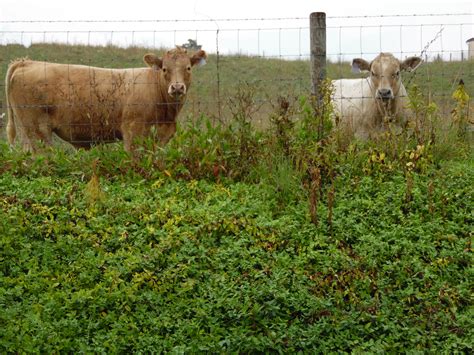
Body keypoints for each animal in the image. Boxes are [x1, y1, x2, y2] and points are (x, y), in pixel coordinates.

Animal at [4, 47, 206, 152]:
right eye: (164, 69)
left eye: (188, 68)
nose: (177, 87)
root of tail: (26, 62)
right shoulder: (133, 131)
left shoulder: (162, 135)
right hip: (36, 129)